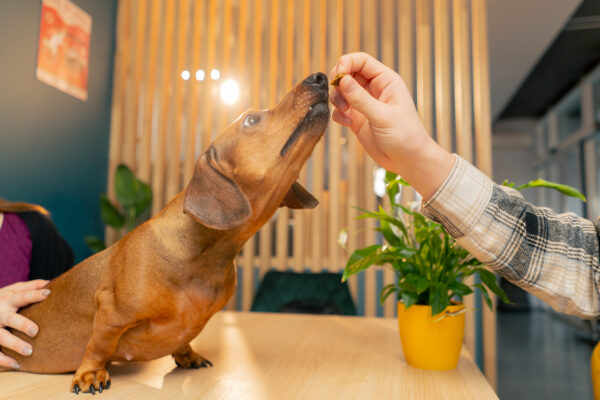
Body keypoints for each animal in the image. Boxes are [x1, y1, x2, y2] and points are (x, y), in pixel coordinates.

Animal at [1, 72, 328, 394]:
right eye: (250, 120)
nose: (320, 78)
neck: (205, 254)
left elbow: (184, 340)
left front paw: (188, 355)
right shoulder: (110, 312)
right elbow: (99, 346)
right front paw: (91, 373)